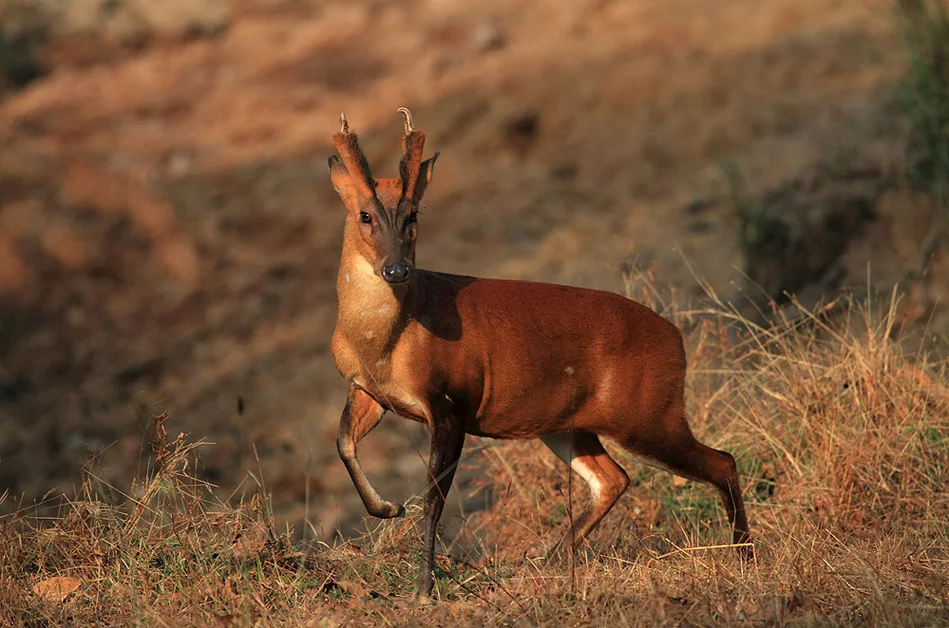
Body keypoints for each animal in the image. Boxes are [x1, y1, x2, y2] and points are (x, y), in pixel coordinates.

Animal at [330, 110, 752, 600]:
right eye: (364, 215)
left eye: (413, 214)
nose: (397, 269)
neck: (386, 342)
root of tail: (676, 337)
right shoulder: (368, 392)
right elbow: (344, 444)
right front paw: (387, 507)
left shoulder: (450, 400)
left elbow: (434, 501)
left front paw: (422, 590)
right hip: (569, 425)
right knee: (613, 479)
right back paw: (543, 565)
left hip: (648, 413)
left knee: (721, 461)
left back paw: (746, 558)